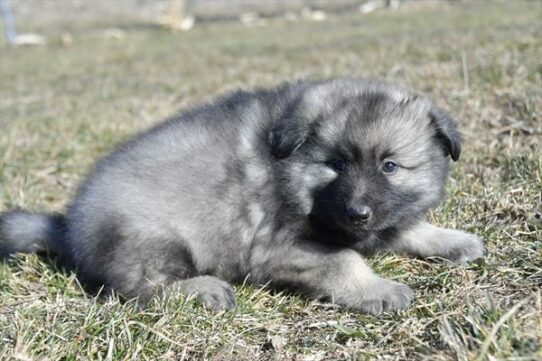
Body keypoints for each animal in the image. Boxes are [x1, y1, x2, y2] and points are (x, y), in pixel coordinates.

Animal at [0, 77, 484, 314]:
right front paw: (377, 289)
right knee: (140, 288)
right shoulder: (275, 248)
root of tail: (68, 225)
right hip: (150, 238)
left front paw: (452, 240)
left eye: (389, 166)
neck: (290, 173)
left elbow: (407, 225)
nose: (357, 213)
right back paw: (202, 291)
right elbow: (344, 259)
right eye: (335, 164)